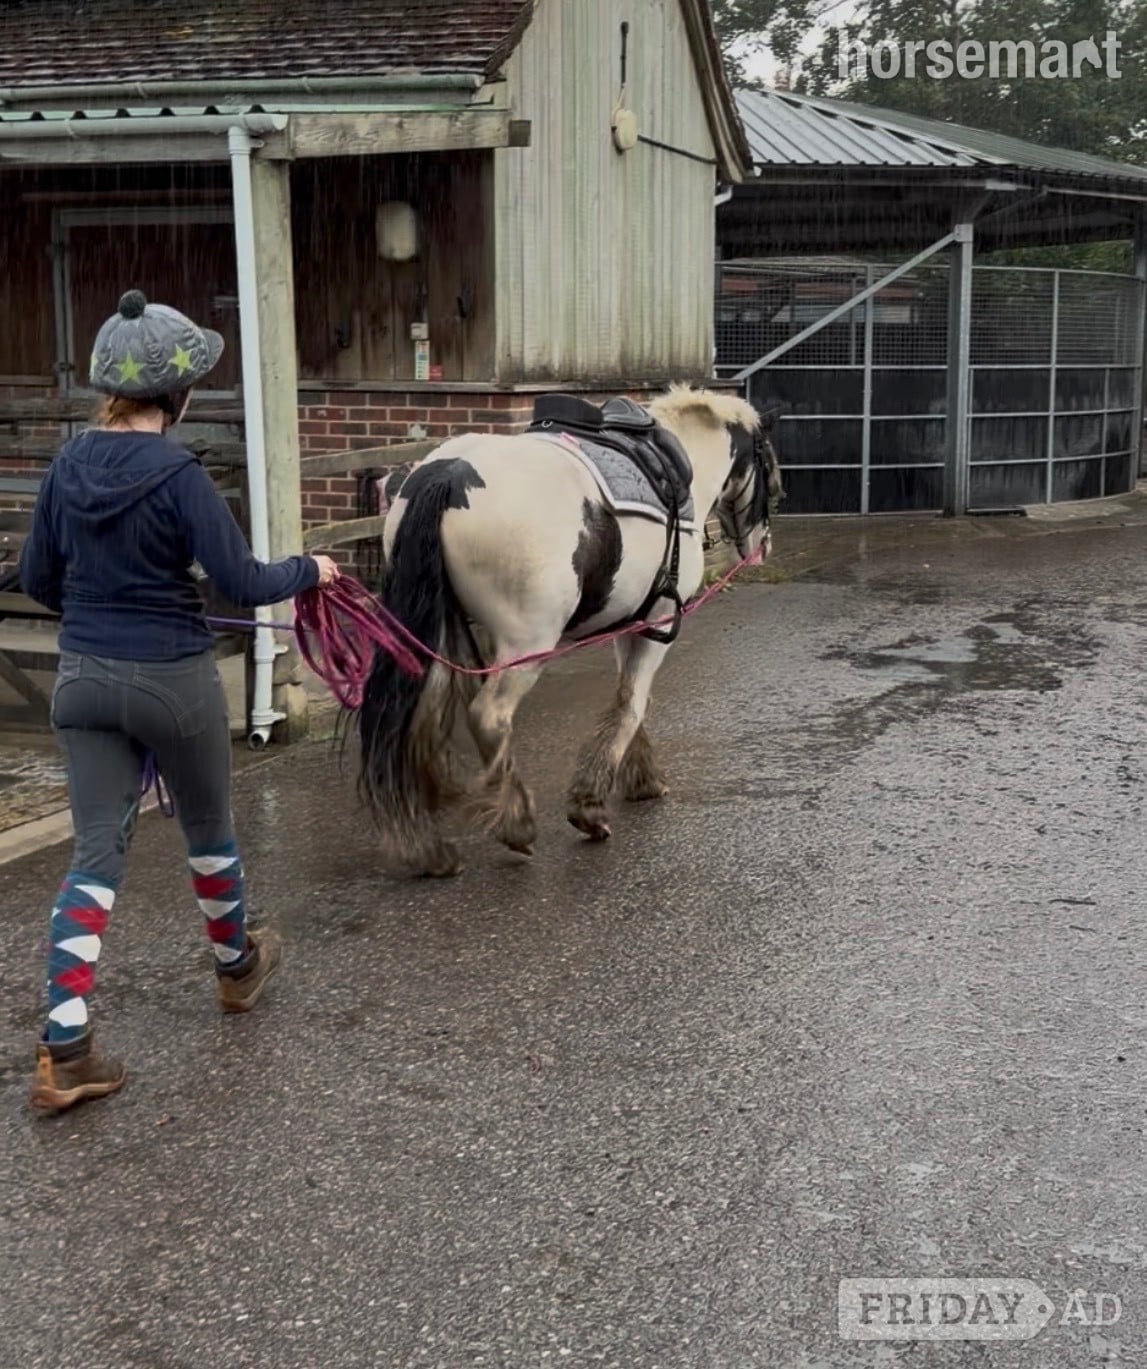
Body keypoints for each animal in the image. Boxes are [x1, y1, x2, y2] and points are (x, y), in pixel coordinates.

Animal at [354, 385, 781, 878]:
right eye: (768, 466)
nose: (762, 545)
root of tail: (449, 474)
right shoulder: (657, 624)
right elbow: (632, 702)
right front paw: (589, 805)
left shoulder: (630, 622)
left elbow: (629, 698)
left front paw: (641, 777)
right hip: (527, 644)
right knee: (488, 716)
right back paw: (516, 823)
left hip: (440, 631)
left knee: (419, 716)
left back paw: (428, 847)